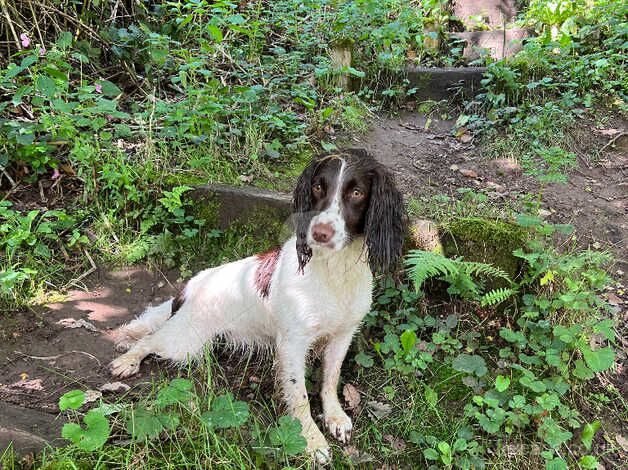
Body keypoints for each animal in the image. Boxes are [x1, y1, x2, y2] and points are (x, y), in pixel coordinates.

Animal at [110, 151, 404, 462]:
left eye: (357, 193)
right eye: (318, 187)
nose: (320, 233)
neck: (334, 270)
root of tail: (191, 286)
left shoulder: (343, 334)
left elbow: (330, 378)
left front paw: (334, 417)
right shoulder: (293, 343)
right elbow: (299, 395)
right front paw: (312, 440)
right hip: (185, 341)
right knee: (150, 339)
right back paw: (127, 361)